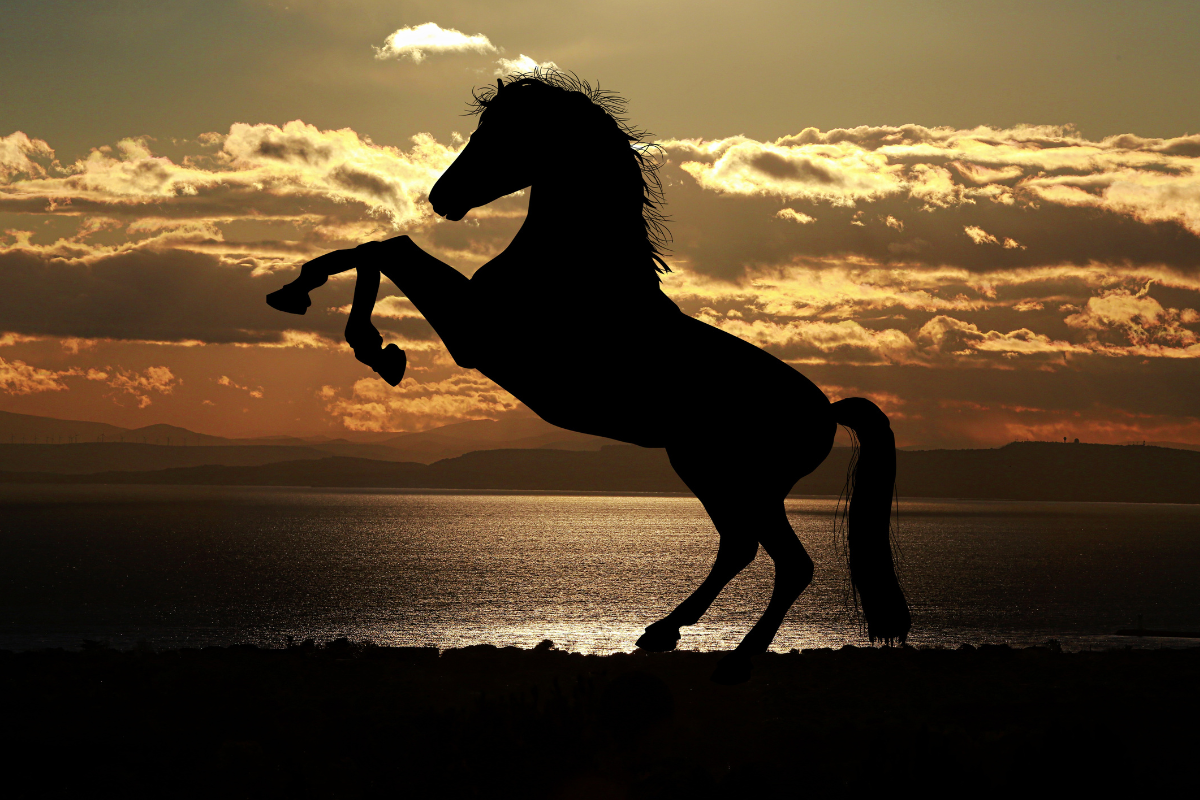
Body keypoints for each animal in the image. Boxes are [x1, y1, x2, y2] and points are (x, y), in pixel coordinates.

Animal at [266, 72, 910, 683]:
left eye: (503, 133)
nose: (441, 196)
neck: (575, 268)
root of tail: (827, 410)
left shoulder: (475, 334)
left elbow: (387, 248)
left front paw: (371, 345)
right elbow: (377, 247)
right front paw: (305, 298)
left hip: (743, 480)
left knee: (788, 563)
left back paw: (734, 661)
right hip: (705, 469)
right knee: (739, 547)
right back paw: (662, 632)